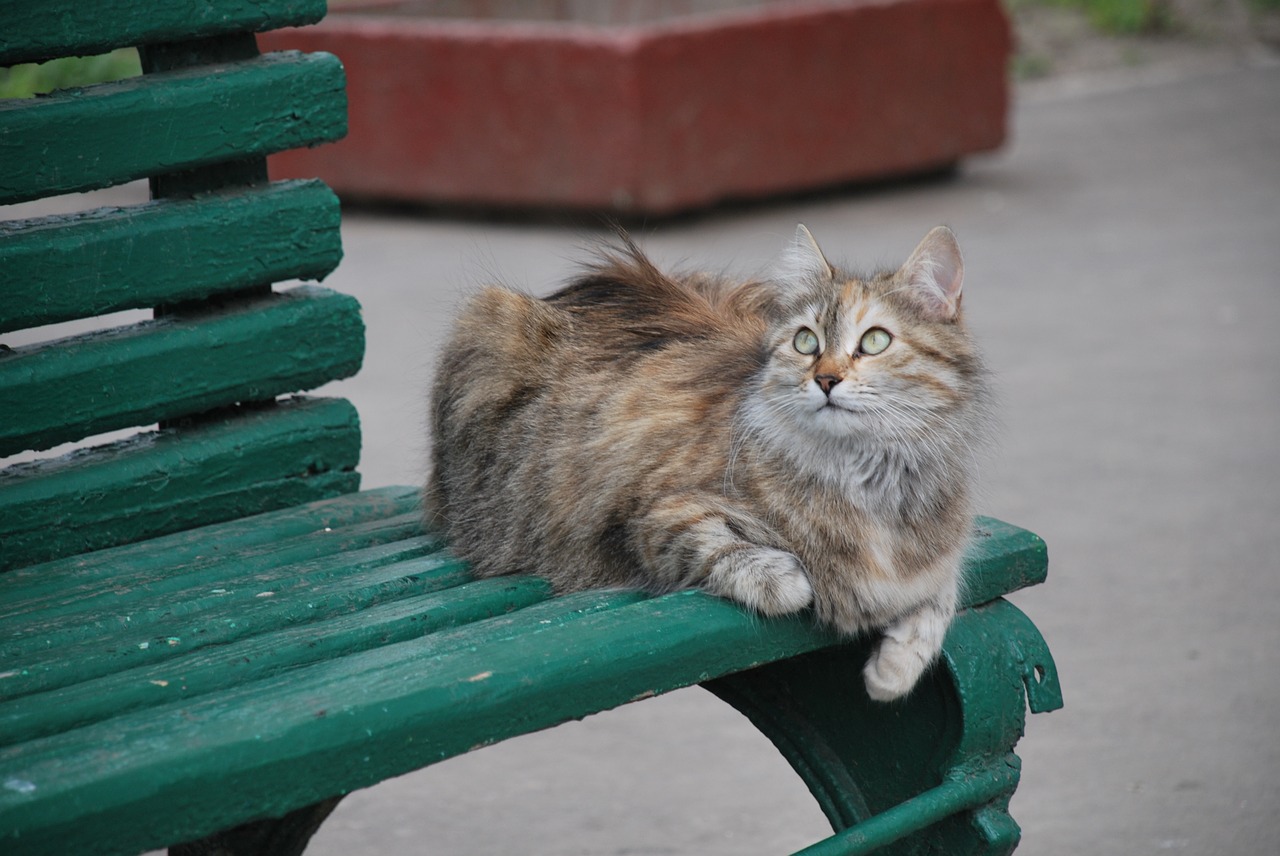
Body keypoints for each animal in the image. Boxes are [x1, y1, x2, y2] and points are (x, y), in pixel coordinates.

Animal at [424, 226, 993, 701]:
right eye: (805, 341)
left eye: (875, 341)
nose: (825, 379)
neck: (870, 480)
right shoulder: (654, 512)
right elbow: (732, 551)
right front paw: (793, 580)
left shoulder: (937, 557)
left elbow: (939, 598)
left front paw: (892, 672)